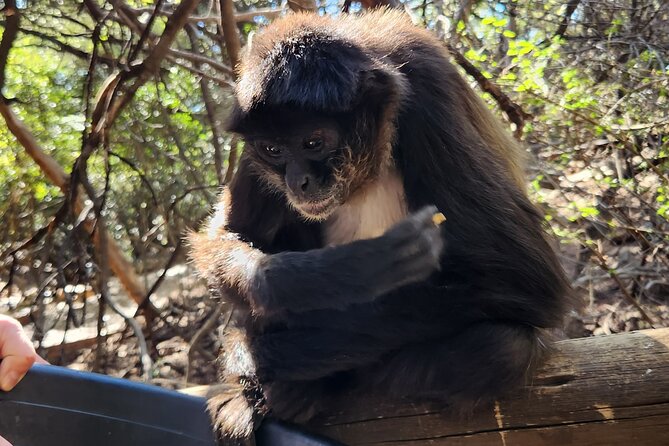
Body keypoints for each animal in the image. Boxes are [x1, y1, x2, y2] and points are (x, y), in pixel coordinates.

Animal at [188, 8, 568, 440]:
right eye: (272, 150)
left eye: (313, 143)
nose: (298, 181)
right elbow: (225, 237)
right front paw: (331, 277)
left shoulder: (427, 92)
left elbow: (526, 279)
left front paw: (258, 355)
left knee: (503, 348)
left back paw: (300, 384)